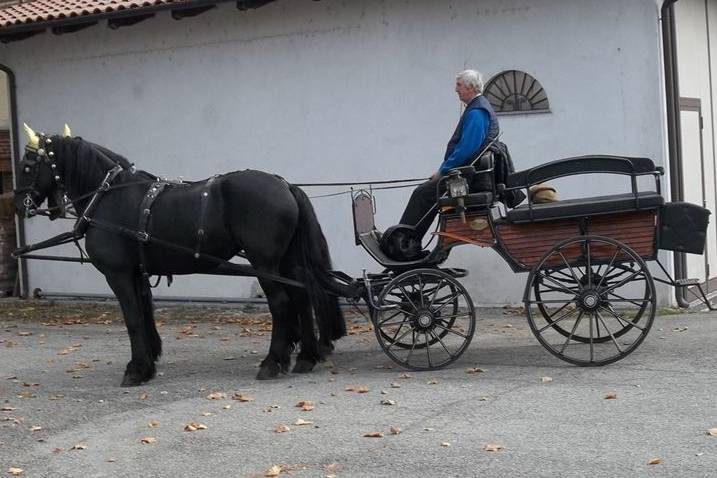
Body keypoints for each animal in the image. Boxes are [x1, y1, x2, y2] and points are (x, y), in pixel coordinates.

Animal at [11, 126, 346, 384]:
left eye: (27, 165)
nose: (16, 205)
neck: (108, 197)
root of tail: (283, 184)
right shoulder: (137, 273)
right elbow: (144, 314)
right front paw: (149, 361)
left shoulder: (118, 274)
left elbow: (132, 319)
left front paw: (136, 370)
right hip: (286, 260)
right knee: (302, 296)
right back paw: (306, 357)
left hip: (264, 262)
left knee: (281, 303)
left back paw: (272, 362)